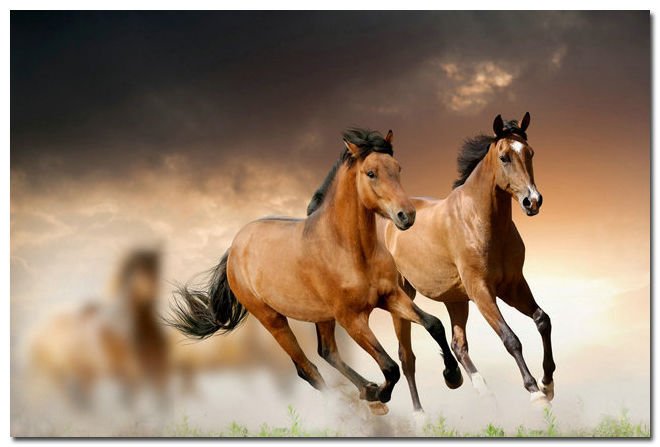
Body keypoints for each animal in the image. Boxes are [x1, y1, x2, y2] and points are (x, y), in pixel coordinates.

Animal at [168, 128, 462, 414]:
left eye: (398, 168)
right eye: (371, 173)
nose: (407, 216)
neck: (349, 249)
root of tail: (234, 247)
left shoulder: (390, 296)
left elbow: (434, 325)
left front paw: (453, 376)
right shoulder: (352, 318)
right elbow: (390, 367)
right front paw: (381, 393)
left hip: (322, 316)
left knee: (327, 352)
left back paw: (366, 391)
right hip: (273, 319)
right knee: (307, 368)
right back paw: (359, 404)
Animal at [383, 113, 555, 411]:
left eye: (530, 153)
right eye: (504, 157)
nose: (532, 201)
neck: (480, 221)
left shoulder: (513, 285)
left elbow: (542, 320)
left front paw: (548, 383)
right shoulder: (481, 290)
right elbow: (510, 339)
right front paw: (535, 392)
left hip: (455, 300)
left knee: (457, 344)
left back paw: (478, 389)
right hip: (403, 297)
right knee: (407, 357)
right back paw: (420, 414)